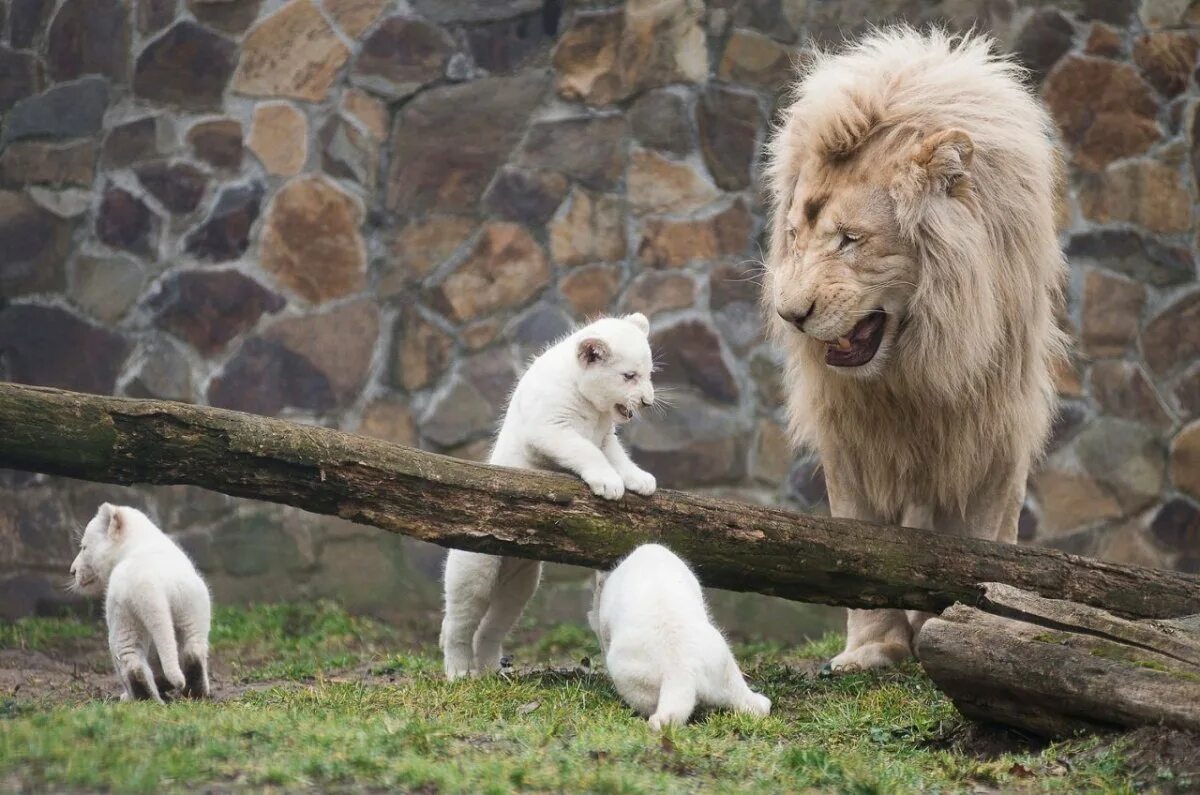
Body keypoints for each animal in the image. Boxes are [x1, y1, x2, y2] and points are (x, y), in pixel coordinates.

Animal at [763, 26, 1065, 672]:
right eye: (794, 237)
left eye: (850, 240)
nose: (791, 315)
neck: (915, 365)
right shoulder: (851, 435)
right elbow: (858, 542)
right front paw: (873, 649)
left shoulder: (992, 430)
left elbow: (979, 546)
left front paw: (967, 629)